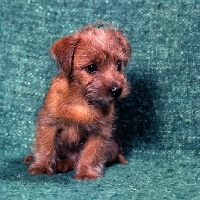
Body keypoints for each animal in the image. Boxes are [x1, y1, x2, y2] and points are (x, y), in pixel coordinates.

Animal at [24, 24, 131, 180]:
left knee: (74, 159)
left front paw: (86, 172)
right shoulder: (49, 123)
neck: (81, 100)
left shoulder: (100, 132)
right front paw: (41, 166)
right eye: (91, 67)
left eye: (118, 65)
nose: (117, 90)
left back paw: (63, 164)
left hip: (112, 147)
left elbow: (91, 154)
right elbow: (45, 146)